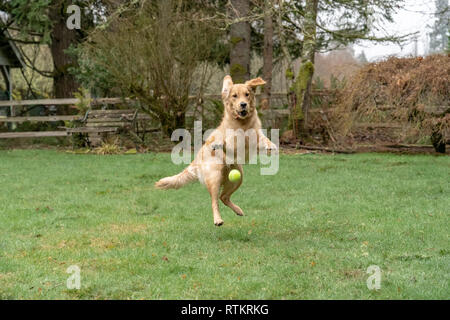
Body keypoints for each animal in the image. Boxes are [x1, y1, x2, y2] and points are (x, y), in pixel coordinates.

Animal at [156, 74, 278, 225]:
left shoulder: (255, 136)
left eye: (247, 94)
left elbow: (263, 139)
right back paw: (218, 219)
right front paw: (219, 144)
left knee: (223, 197)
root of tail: (197, 159)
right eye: (234, 96)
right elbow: (226, 143)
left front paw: (271, 146)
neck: (242, 124)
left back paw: (238, 210)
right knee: (215, 200)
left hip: (238, 177)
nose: (243, 104)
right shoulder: (233, 143)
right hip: (214, 178)